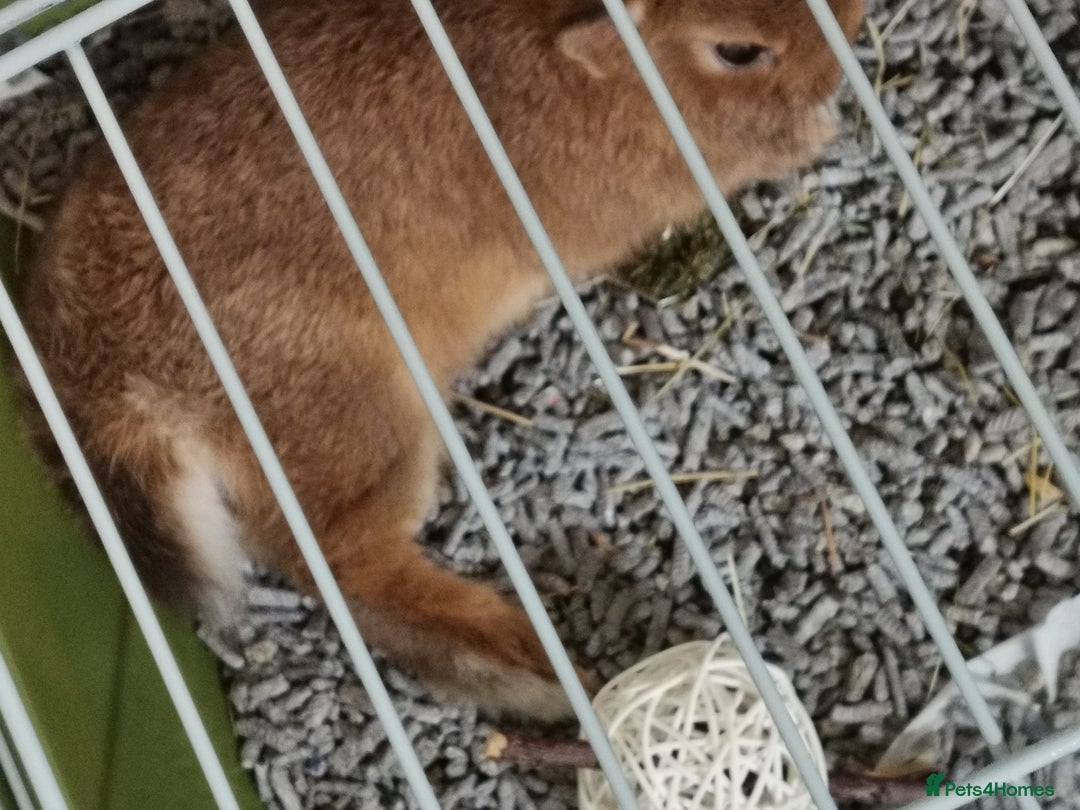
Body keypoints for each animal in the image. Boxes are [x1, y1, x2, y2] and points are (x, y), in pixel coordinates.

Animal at [18, 0, 863, 720]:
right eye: (738, 50)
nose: (850, 34)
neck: (585, 61)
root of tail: (100, 375)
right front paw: (814, 133)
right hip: (362, 419)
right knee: (349, 569)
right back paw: (529, 671)